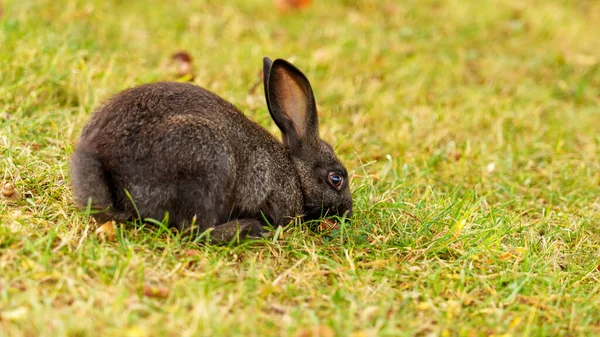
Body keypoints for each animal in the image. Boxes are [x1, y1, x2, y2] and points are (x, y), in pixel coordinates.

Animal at [69, 58, 352, 242]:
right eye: (335, 178)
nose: (348, 212)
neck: (295, 173)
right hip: (207, 162)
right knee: (195, 229)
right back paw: (249, 230)